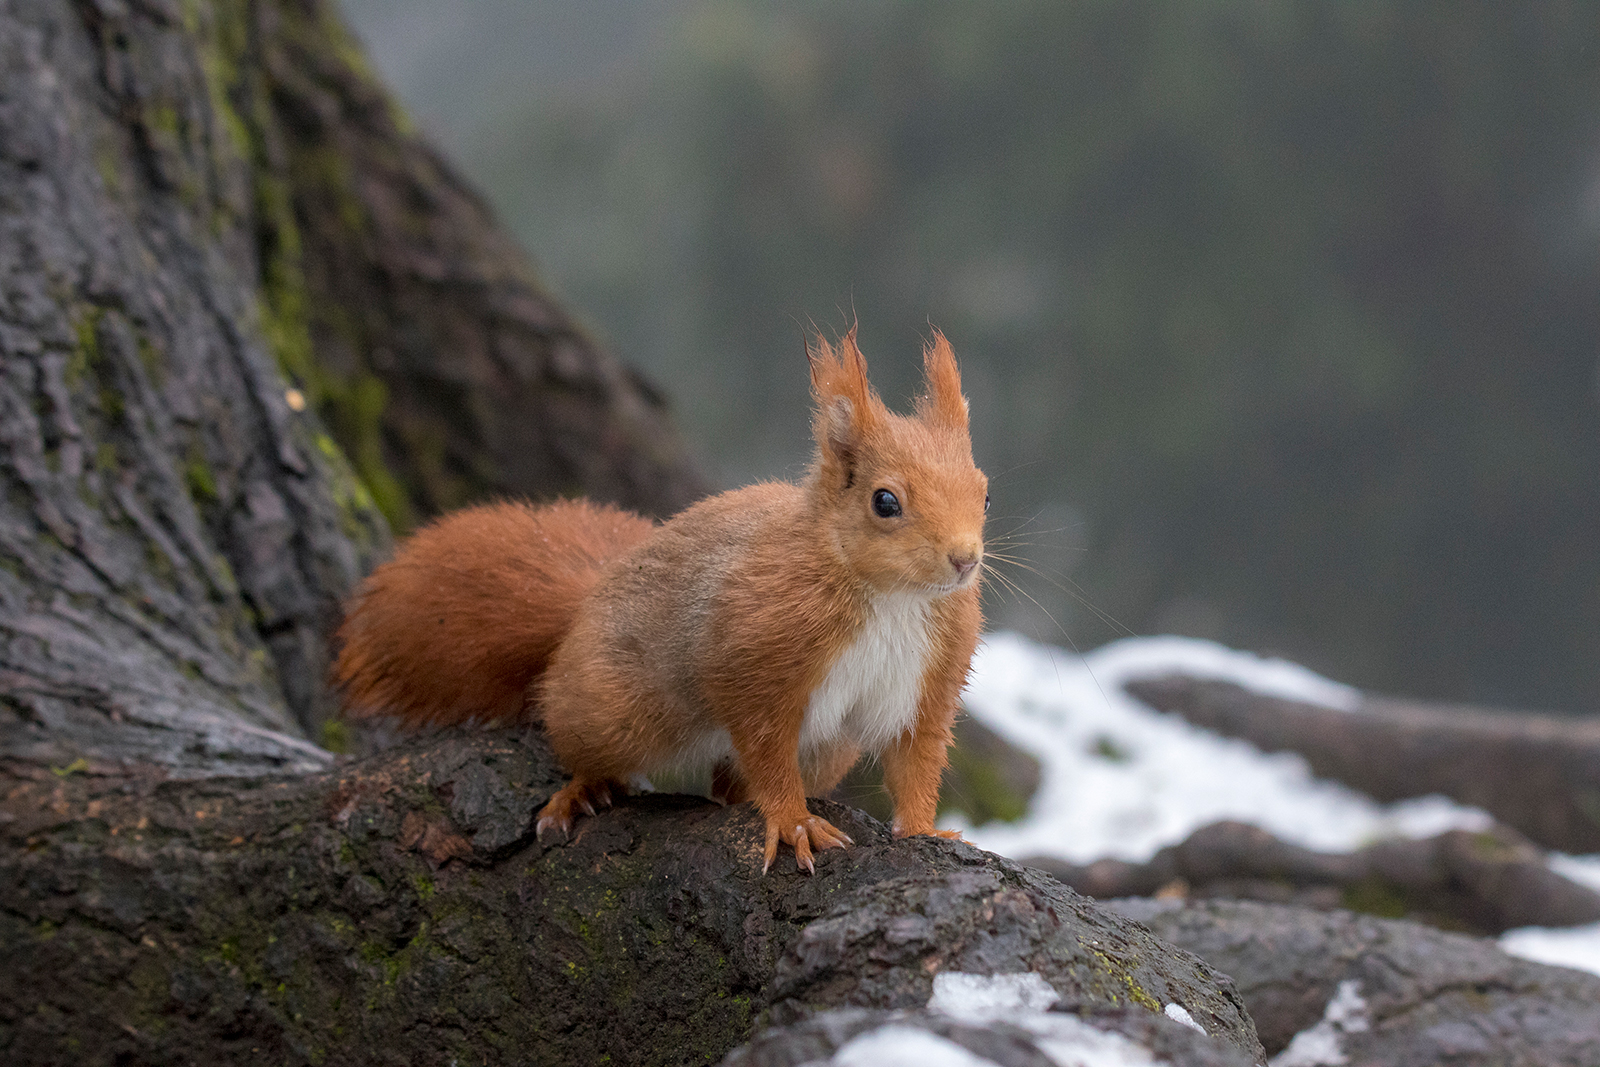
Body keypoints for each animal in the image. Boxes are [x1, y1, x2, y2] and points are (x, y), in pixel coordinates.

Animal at [334, 328, 988, 873]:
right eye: (885, 502)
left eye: (984, 492)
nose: (965, 560)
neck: (893, 597)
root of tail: (587, 605)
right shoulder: (755, 655)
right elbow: (767, 749)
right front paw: (793, 822)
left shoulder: (930, 679)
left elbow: (916, 759)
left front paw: (926, 831)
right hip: (616, 708)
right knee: (578, 737)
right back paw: (581, 789)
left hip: (828, 750)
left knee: (731, 784)